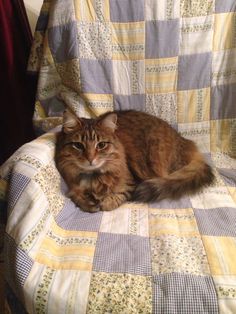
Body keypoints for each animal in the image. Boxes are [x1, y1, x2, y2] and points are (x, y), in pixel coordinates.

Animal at [55, 109, 214, 212]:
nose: (90, 159)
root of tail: (186, 141)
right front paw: (89, 202)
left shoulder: (131, 184)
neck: (93, 177)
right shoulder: (72, 187)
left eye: (101, 145)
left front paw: (103, 203)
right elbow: (75, 196)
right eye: (78, 145)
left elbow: (115, 199)